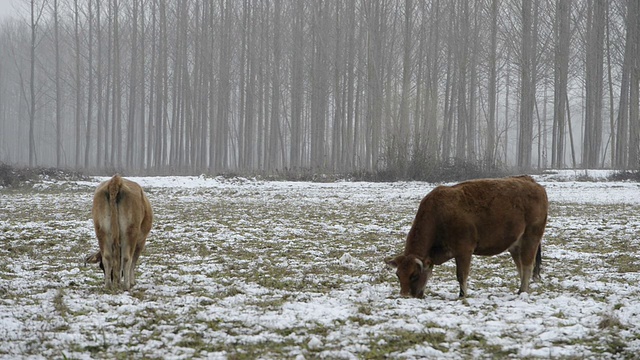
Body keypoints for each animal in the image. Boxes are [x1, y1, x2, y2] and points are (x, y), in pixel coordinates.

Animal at [388, 175, 548, 298]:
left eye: (414, 275)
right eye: (398, 275)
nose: (404, 295)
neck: (438, 214)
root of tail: (531, 181)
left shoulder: (464, 250)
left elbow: (461, 275)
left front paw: (462, 295)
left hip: (531, 237)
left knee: (527, 264)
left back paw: (522, 291)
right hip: (515, 245)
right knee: (520, 266)